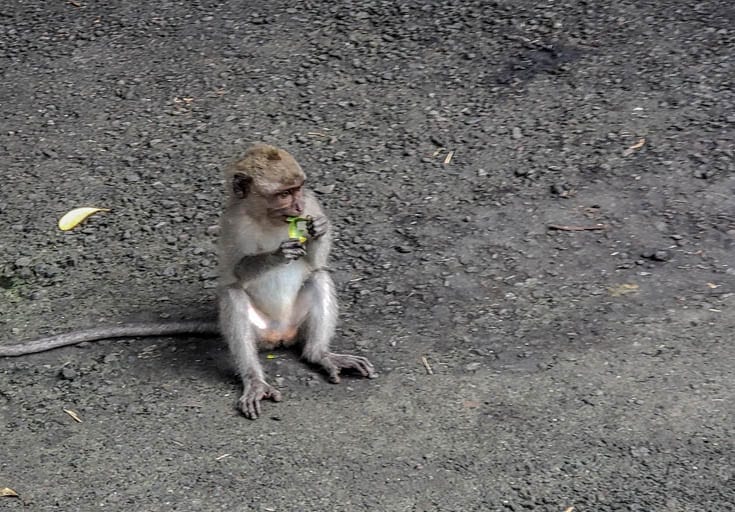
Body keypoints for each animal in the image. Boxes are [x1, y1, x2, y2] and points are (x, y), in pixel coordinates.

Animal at [0, 142, 376, 418]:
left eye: (298, 189)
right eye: (284, 194)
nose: (296, 206)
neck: (268, 217)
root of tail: (280, 335)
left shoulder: (313, 204)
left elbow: (317, 263)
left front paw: (318, 231)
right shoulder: (230, 221)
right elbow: (233, 272)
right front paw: (276, 254)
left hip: (297, 322)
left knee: (318, 278)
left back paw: (320, 354)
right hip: (258, 329)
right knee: (233, 297)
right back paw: (254, 379)